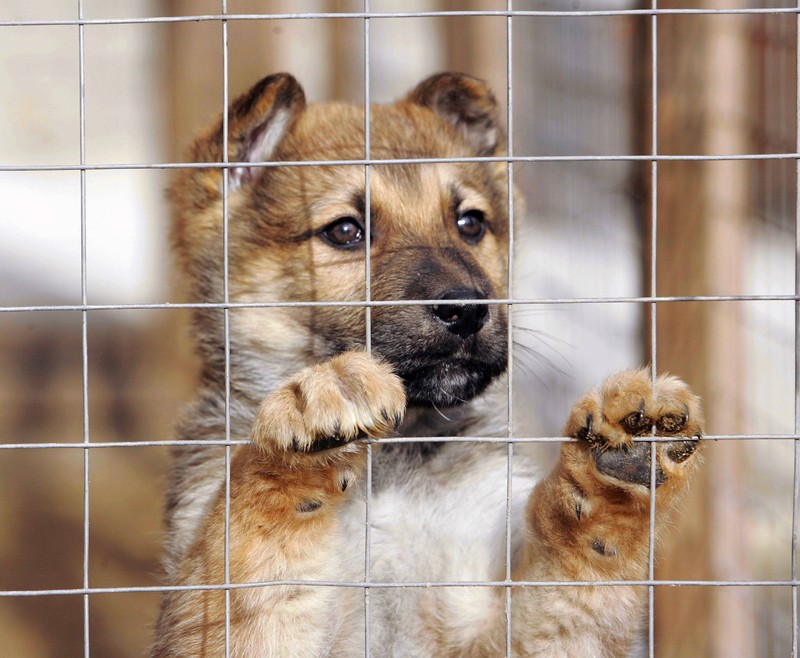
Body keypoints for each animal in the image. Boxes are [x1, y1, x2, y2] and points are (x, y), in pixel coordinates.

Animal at [153, 73, 704, 656]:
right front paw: (311, 417)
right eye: (345, 231)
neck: (397, 461)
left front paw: (614, 480)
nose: (466, 309)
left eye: (470, 223)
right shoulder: (246, 620)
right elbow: (250, 529)